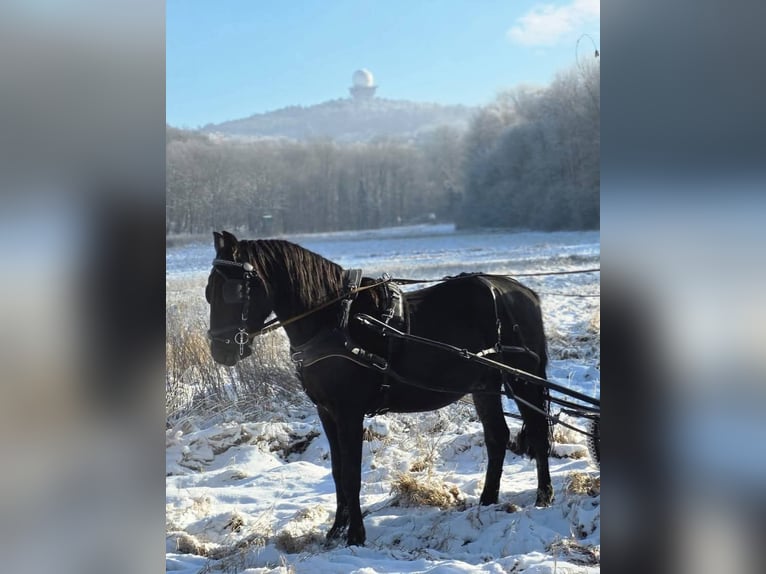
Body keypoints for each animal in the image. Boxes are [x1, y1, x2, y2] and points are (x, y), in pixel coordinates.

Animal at [206, 230, 552, 546]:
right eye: (209, 292)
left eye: (234, 291)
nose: (220, 351)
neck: (335, 320)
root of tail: (521, 292)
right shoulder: (326, 411)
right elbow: (337, 472)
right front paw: (336, 529)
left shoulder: (349, 412)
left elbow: (351, 474)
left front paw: (355, 535)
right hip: (485, 384)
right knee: (497, 437)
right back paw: (487, 501)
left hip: (522, 378)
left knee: (536, 431)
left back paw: (543, 496)